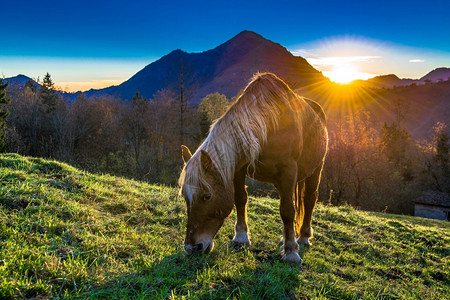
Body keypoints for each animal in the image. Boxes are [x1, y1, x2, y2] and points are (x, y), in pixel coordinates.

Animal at [178, 72, 328, 262]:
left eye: (207, 196)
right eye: (185, 196)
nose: (191, 248)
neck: (269, 123)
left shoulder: (288, 170)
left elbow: (288, 210)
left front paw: (291, 253)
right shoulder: (238, 169)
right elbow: (240, 199)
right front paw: (241, 238)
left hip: (316, 170)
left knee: (309, 200)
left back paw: (303, 237)